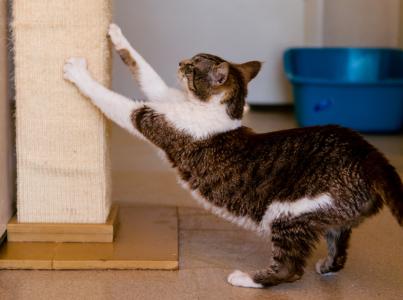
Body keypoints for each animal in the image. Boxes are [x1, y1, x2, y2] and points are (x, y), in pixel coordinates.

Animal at [64, 24, 403, 288]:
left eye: (192, 67)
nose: (180, 60)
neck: (212, 111)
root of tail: (368, 153)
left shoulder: (151, 119)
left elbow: (117, 103)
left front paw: (78, 73)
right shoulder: (164, 97)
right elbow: (147, 74)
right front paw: (116, 34)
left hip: (286, 212)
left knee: (291, 268)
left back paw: (246, 279)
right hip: (333, 214)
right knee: (339, 246)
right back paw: (327, 267)